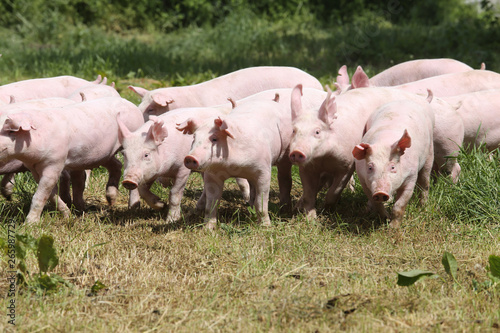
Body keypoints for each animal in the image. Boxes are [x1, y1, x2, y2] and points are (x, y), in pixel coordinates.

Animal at [0, 97, 144, 224]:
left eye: (7, 131)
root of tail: (131, 105)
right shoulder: (34, 167)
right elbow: (51, 194)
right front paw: (68, 215)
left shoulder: (55, 162)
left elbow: (40, 195)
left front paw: (29, 224)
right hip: (103, 154)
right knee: (116, 165)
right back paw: (108, 201)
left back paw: (133, 207)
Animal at [181, 97, 292, 230]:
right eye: (194, 138)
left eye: (214, 139)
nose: (189, 157)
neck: (232, 167)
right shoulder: (212, 175)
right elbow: (211, 205)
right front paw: (207, 229)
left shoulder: (264, 170)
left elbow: (261, 203)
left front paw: (266, 227)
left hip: (285, 151)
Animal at [292, 85, 462, 218]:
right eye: (294, 130)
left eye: (317, 132)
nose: (296, 152)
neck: (323, 158)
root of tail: (425, 100)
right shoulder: (307, 168)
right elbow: (309, 193)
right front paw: (309, 218)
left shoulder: (347, 164)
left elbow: (334, 190)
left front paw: (326, 210)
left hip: (445, 146)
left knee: (452, 167)